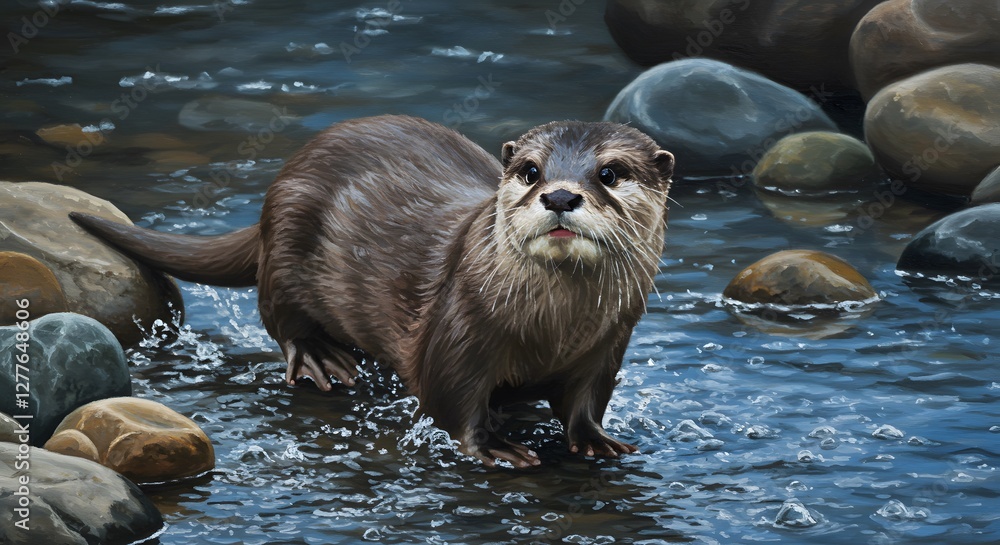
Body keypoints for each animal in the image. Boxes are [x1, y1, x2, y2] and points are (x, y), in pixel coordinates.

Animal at [70, 115, 674, 468]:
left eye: (610, 173)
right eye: (530, 171)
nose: (560, 197)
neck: (554, 330)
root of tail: (278, 186)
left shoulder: (608, 344)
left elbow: (586, 400)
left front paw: (596, 438)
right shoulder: (460, 328)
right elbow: (450, 398)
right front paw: (494, 444)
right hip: (287, 245)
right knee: (279, 317)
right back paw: (322, 357)